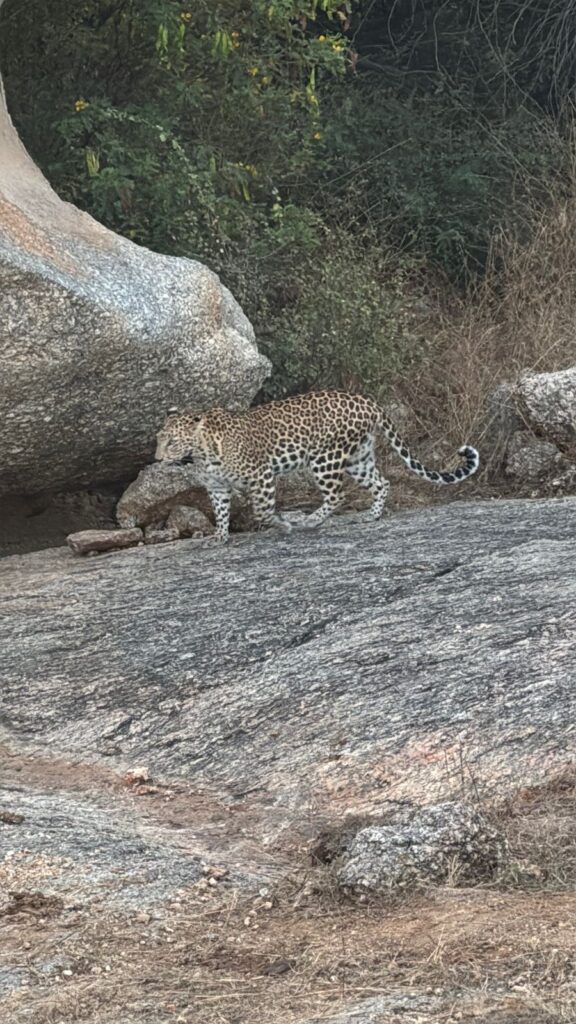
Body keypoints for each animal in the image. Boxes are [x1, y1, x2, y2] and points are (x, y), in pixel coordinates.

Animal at [155, 390, 479, 542]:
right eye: (159, 440)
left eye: (172, 442)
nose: (157, 459)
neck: (201, 454)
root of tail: (368, 401)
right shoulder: (218, 487)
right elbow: (221, 513)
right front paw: (220, 537)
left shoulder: (261, 475)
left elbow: (263, 510)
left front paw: (283, 524)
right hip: (357, 458)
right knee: (381, 482)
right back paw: (371, 516)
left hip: (325, 459)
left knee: (338, 495)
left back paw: (311, 520)